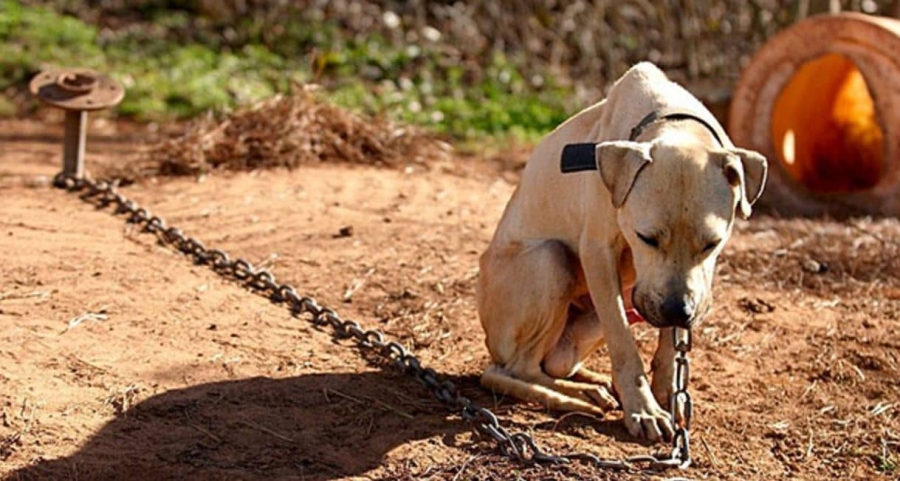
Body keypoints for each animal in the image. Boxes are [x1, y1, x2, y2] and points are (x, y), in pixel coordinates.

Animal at [478, 62, 768, 440]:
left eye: (712, 243)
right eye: (646, 238)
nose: (678, 311)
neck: (672, 119)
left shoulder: (684, 288)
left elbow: (670, 344)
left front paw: (667, 392)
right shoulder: (599, 254)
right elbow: (624, 345)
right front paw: (644, 409)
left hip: (608, 312)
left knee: (551, 364)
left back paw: (591, 384)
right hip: (550, 260)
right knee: (513, 369)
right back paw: (577, 397)